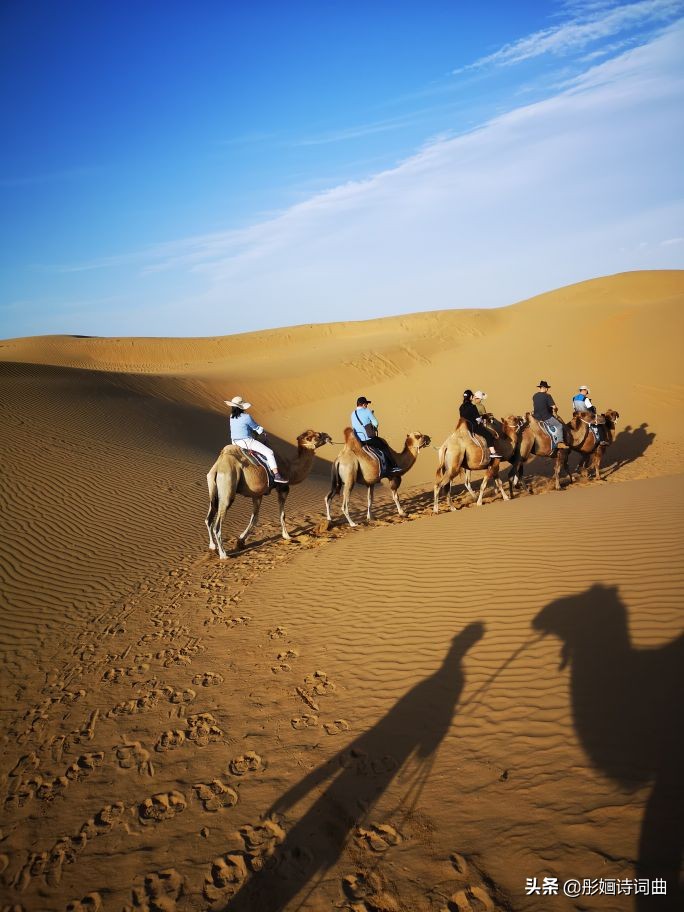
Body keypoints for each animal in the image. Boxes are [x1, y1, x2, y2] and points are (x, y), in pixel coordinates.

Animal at [204, 432, 330, 560]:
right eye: (313, 437)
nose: (327, 436)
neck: (290, 469)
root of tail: (218, 466)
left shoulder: (257, 494)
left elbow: (254, 518)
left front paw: (240, 541)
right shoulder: (283, 488)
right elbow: (282, 515)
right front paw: (286, 535)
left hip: (213, 491)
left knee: (208, 519)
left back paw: (213, 547)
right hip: (227, 487)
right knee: (217, 525)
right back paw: (223, 554)